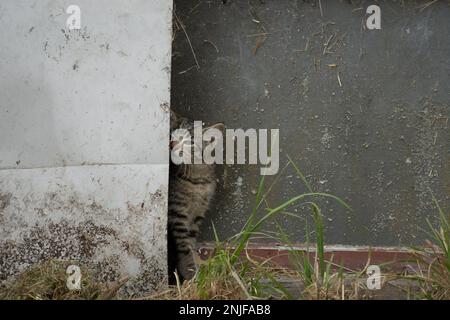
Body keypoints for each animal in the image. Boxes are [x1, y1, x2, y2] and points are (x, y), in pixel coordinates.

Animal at [168, 112, 224, 280]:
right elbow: (184, 246)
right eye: (171, 134)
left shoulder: (198, 213)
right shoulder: (176, 213)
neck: (198, 181)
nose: (172, 144)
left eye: (190, 142)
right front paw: (190, 271)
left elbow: (191, 242)